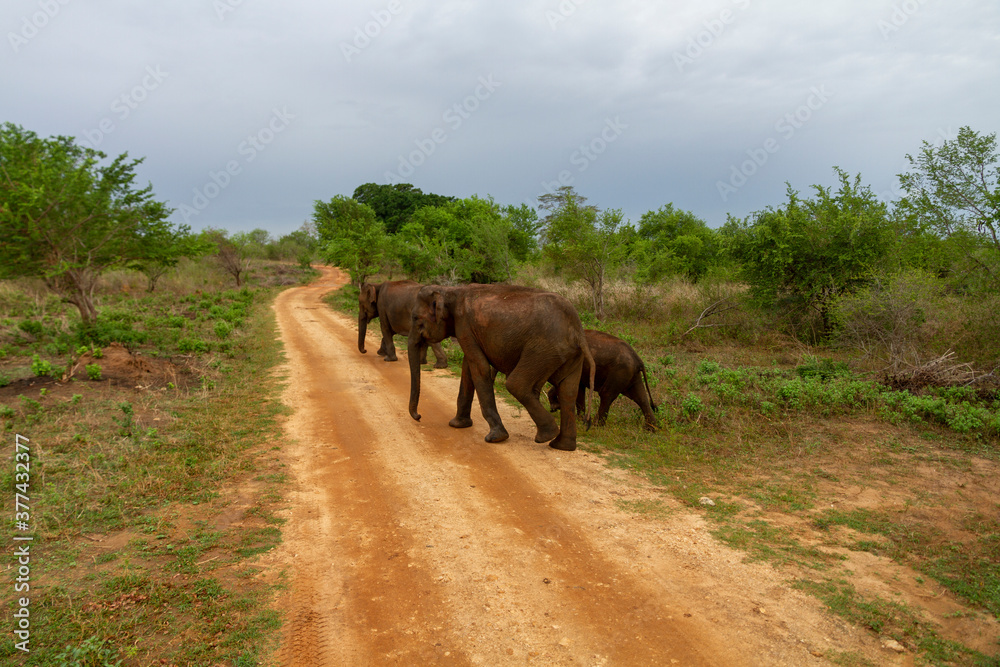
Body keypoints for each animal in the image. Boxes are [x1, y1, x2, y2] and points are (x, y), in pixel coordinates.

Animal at [407, 284, 595, 452]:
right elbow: (469, 368)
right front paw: (458, 425)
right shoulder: (467, 330)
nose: (419, 417)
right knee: (568, 392)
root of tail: (577, 330)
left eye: (416, 318)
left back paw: (546, 436)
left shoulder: (464, 325)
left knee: (517, 385)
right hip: (569, 355)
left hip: (544, 349)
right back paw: (562, 446)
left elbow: (479, 367)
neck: (449, 290)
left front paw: (496, 438)